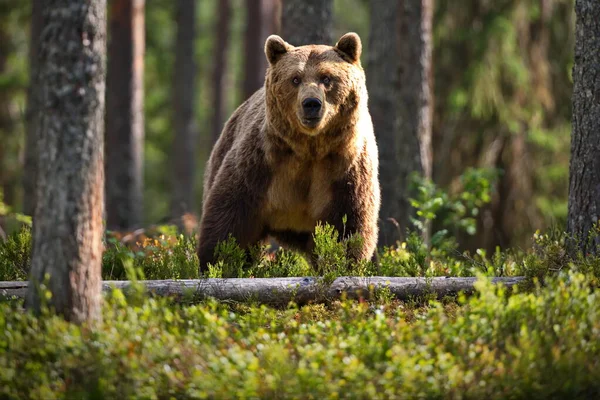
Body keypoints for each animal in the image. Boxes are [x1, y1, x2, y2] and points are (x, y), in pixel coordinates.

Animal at [197, 32, 380, 274]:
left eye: (327, 78)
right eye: (295, 79)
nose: (311, 103)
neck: (309, 148)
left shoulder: (344, 169)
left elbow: (348, 224)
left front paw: (345, 265)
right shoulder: (262, 163)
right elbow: (231, 218)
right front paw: (217, 262)